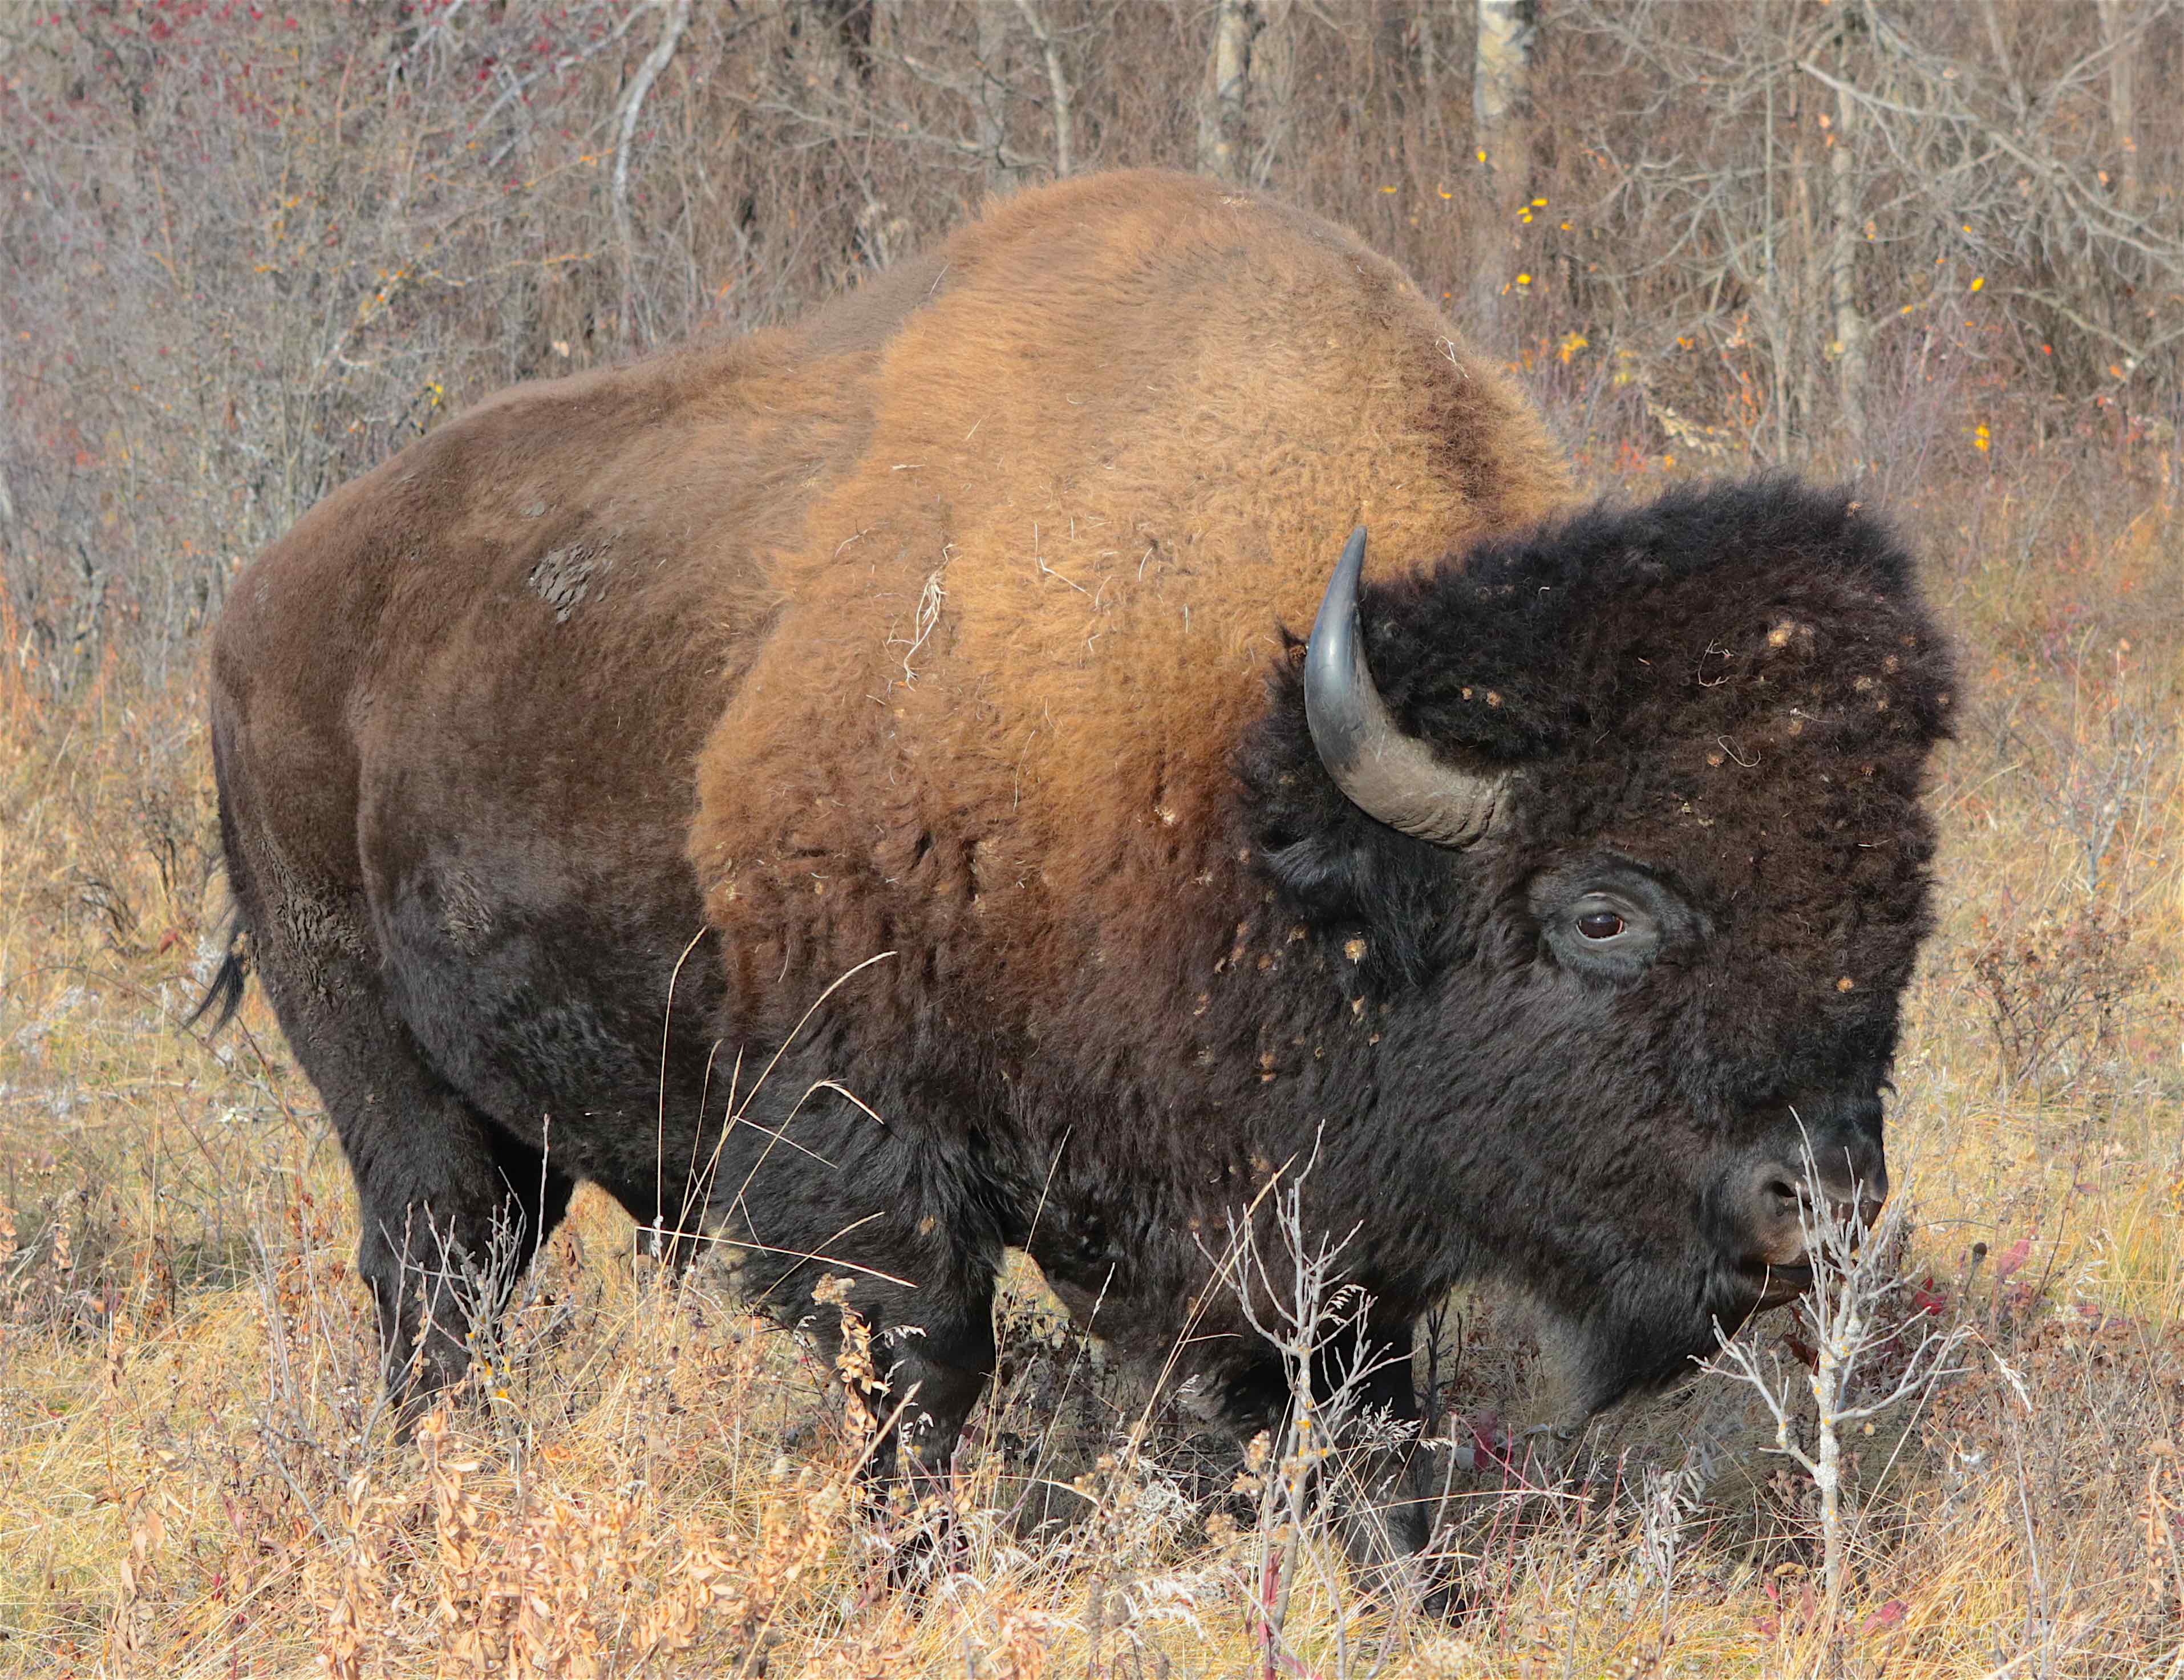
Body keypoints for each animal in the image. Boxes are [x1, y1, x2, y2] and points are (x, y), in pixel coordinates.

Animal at [196, 167, 1956, 1547]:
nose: (1816, 1205)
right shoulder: (871, 1146)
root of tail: (267, 598)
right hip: (395, 1086)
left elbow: (1358, 1426)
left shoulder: (1298, 1223)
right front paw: (914, 1573)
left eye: (1897, 914)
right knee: (439, 1284)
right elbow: (920, 1375)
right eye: (1601, 910)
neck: (1246, 768)